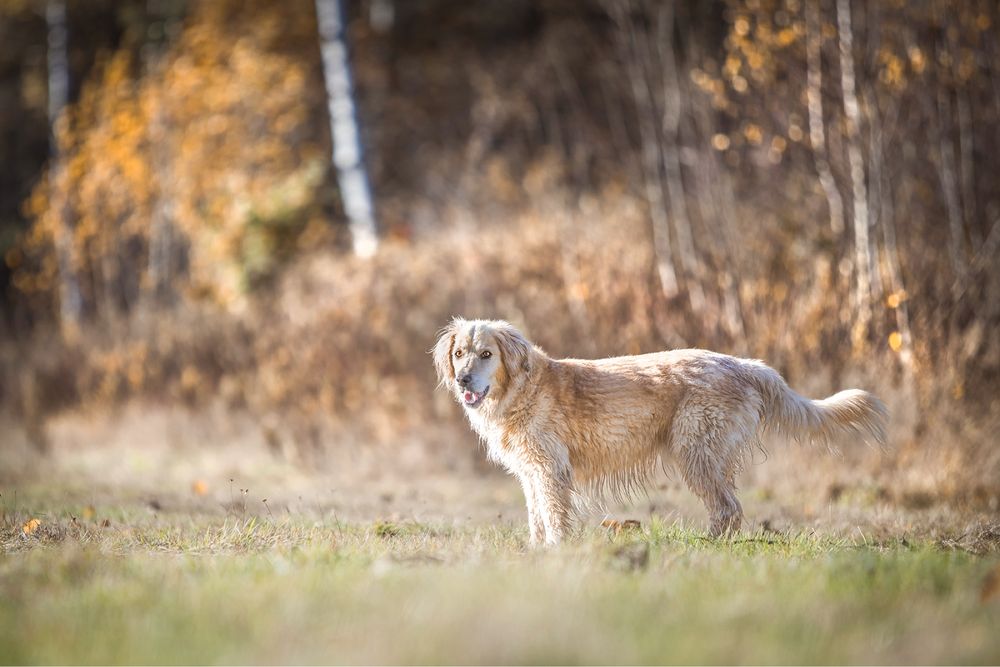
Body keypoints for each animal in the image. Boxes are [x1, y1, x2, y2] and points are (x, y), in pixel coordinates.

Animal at [434, 316, 888, 544]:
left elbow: (554, 517)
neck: (522, 390)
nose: (464, 379)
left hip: (696, 453)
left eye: (486, 354)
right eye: (459, 354)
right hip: (710, 457)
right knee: (730, 507)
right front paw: (536, 552)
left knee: (728, 508)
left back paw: (708, 548)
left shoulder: (550, 471)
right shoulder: (532, 474)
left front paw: (556, 552)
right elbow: (537, 518)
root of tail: (743, 364)